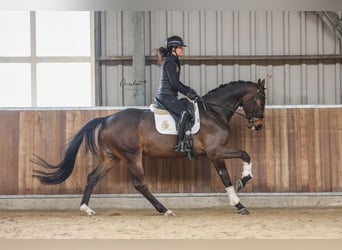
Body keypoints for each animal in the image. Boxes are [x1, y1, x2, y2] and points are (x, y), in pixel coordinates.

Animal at [33, 79, 266, 215]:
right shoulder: (215, 150)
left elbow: (226, 175)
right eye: (261, 100)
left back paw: (86, 208)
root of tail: (106, 119)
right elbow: (244, 156)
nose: (259, 125)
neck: (214, 112)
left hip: (111, 158)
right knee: (140, 184)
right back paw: (164, 209)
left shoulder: (215, 154)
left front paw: (238, 201)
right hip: (132, 156)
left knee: (92, 177)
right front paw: (243, 184)